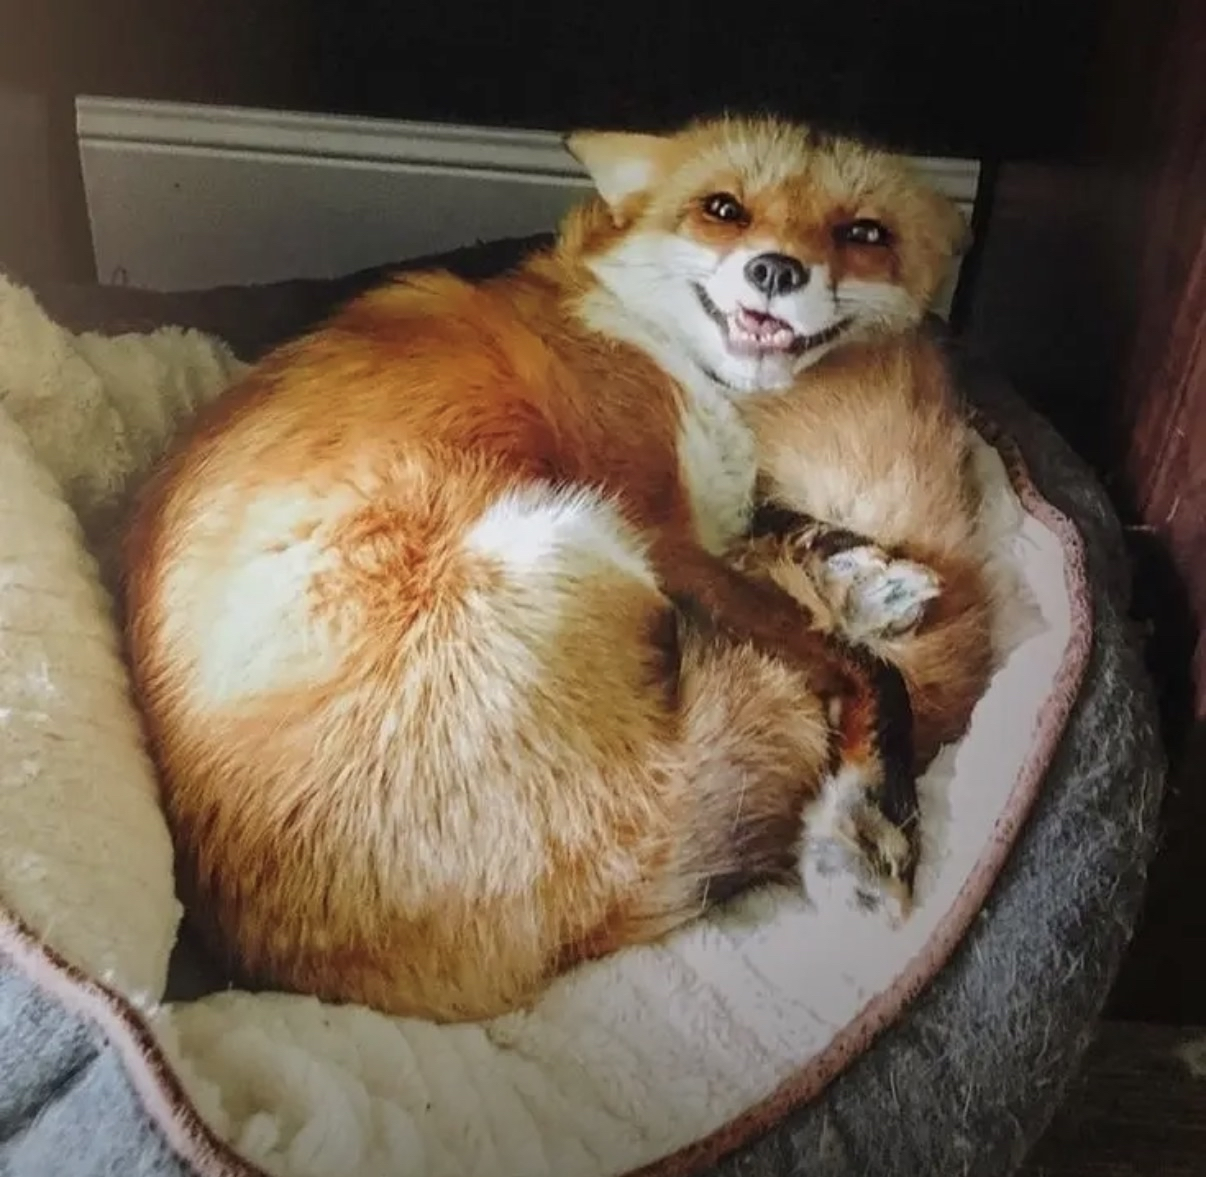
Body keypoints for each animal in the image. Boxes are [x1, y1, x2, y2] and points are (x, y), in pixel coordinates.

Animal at [123, 114, 982, 1024]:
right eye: (724, 209)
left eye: (865, 234)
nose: (776, 270)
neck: (658, 345)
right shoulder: (655, 527)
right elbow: (861, 663)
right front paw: (879, 803)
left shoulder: (703, 527)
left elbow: (783, 532)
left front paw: (867, 574)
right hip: (567, 532)